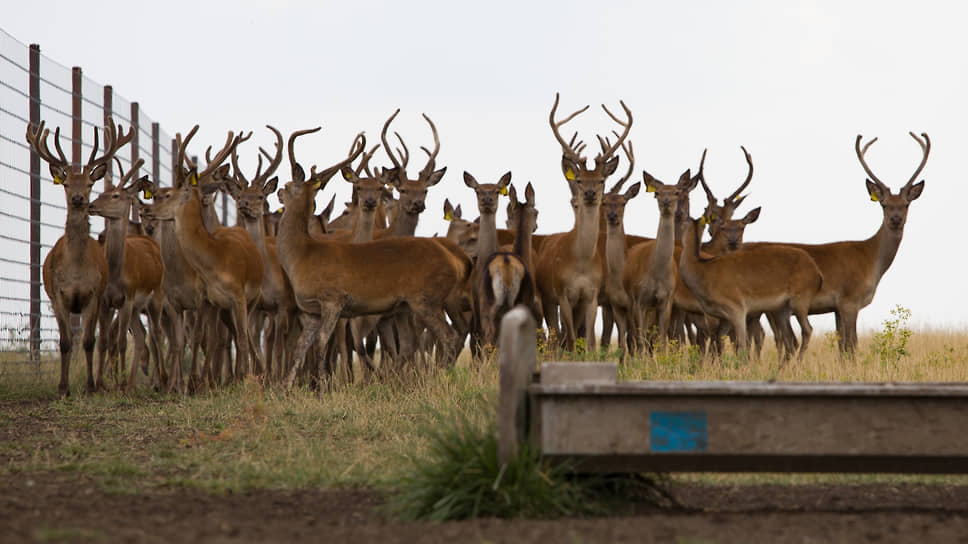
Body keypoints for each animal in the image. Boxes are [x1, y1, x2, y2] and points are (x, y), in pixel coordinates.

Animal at [28, 119, 134, 396]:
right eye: (66, 184)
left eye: (89, 183)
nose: (78, 199)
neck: (75, 270)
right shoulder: (57, 294)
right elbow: (65, 343)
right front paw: (63, 387)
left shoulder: (94, 295)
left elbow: (88, 341)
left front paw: (89, 386)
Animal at [87, 157, 164, 392]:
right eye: (101, 192)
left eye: (115, 195)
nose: (91, 205)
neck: (115, 272)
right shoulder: (105, 300)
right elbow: (103, 340)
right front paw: (100, 383)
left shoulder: (127, 298)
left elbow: (121, 342)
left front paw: (118, 382)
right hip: (138, 308)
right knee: (140, 336)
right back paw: (131, 384)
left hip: (156, 297)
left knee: (157, 334)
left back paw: (164, 380)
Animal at [274, 129, 470, 392]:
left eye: (286, 185)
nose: (278, 192)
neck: (301, 257)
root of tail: (457, 261)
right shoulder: (311, 310)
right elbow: (300, 348)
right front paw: (285, 389)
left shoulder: (333, 299)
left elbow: (322, 343)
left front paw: (324, 389)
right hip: (406, 306)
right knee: (411, 343)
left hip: (426, 298)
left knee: (449, 336)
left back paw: (438, 380)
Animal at [532, 92, 632, 352]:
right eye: (578, 179)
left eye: (601, 180)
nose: (589, 193)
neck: (581, 264)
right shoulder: (563, 293)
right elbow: (568, 337)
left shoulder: (591, 296)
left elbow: (588, 341)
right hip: (547, 297)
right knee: (556, 334)